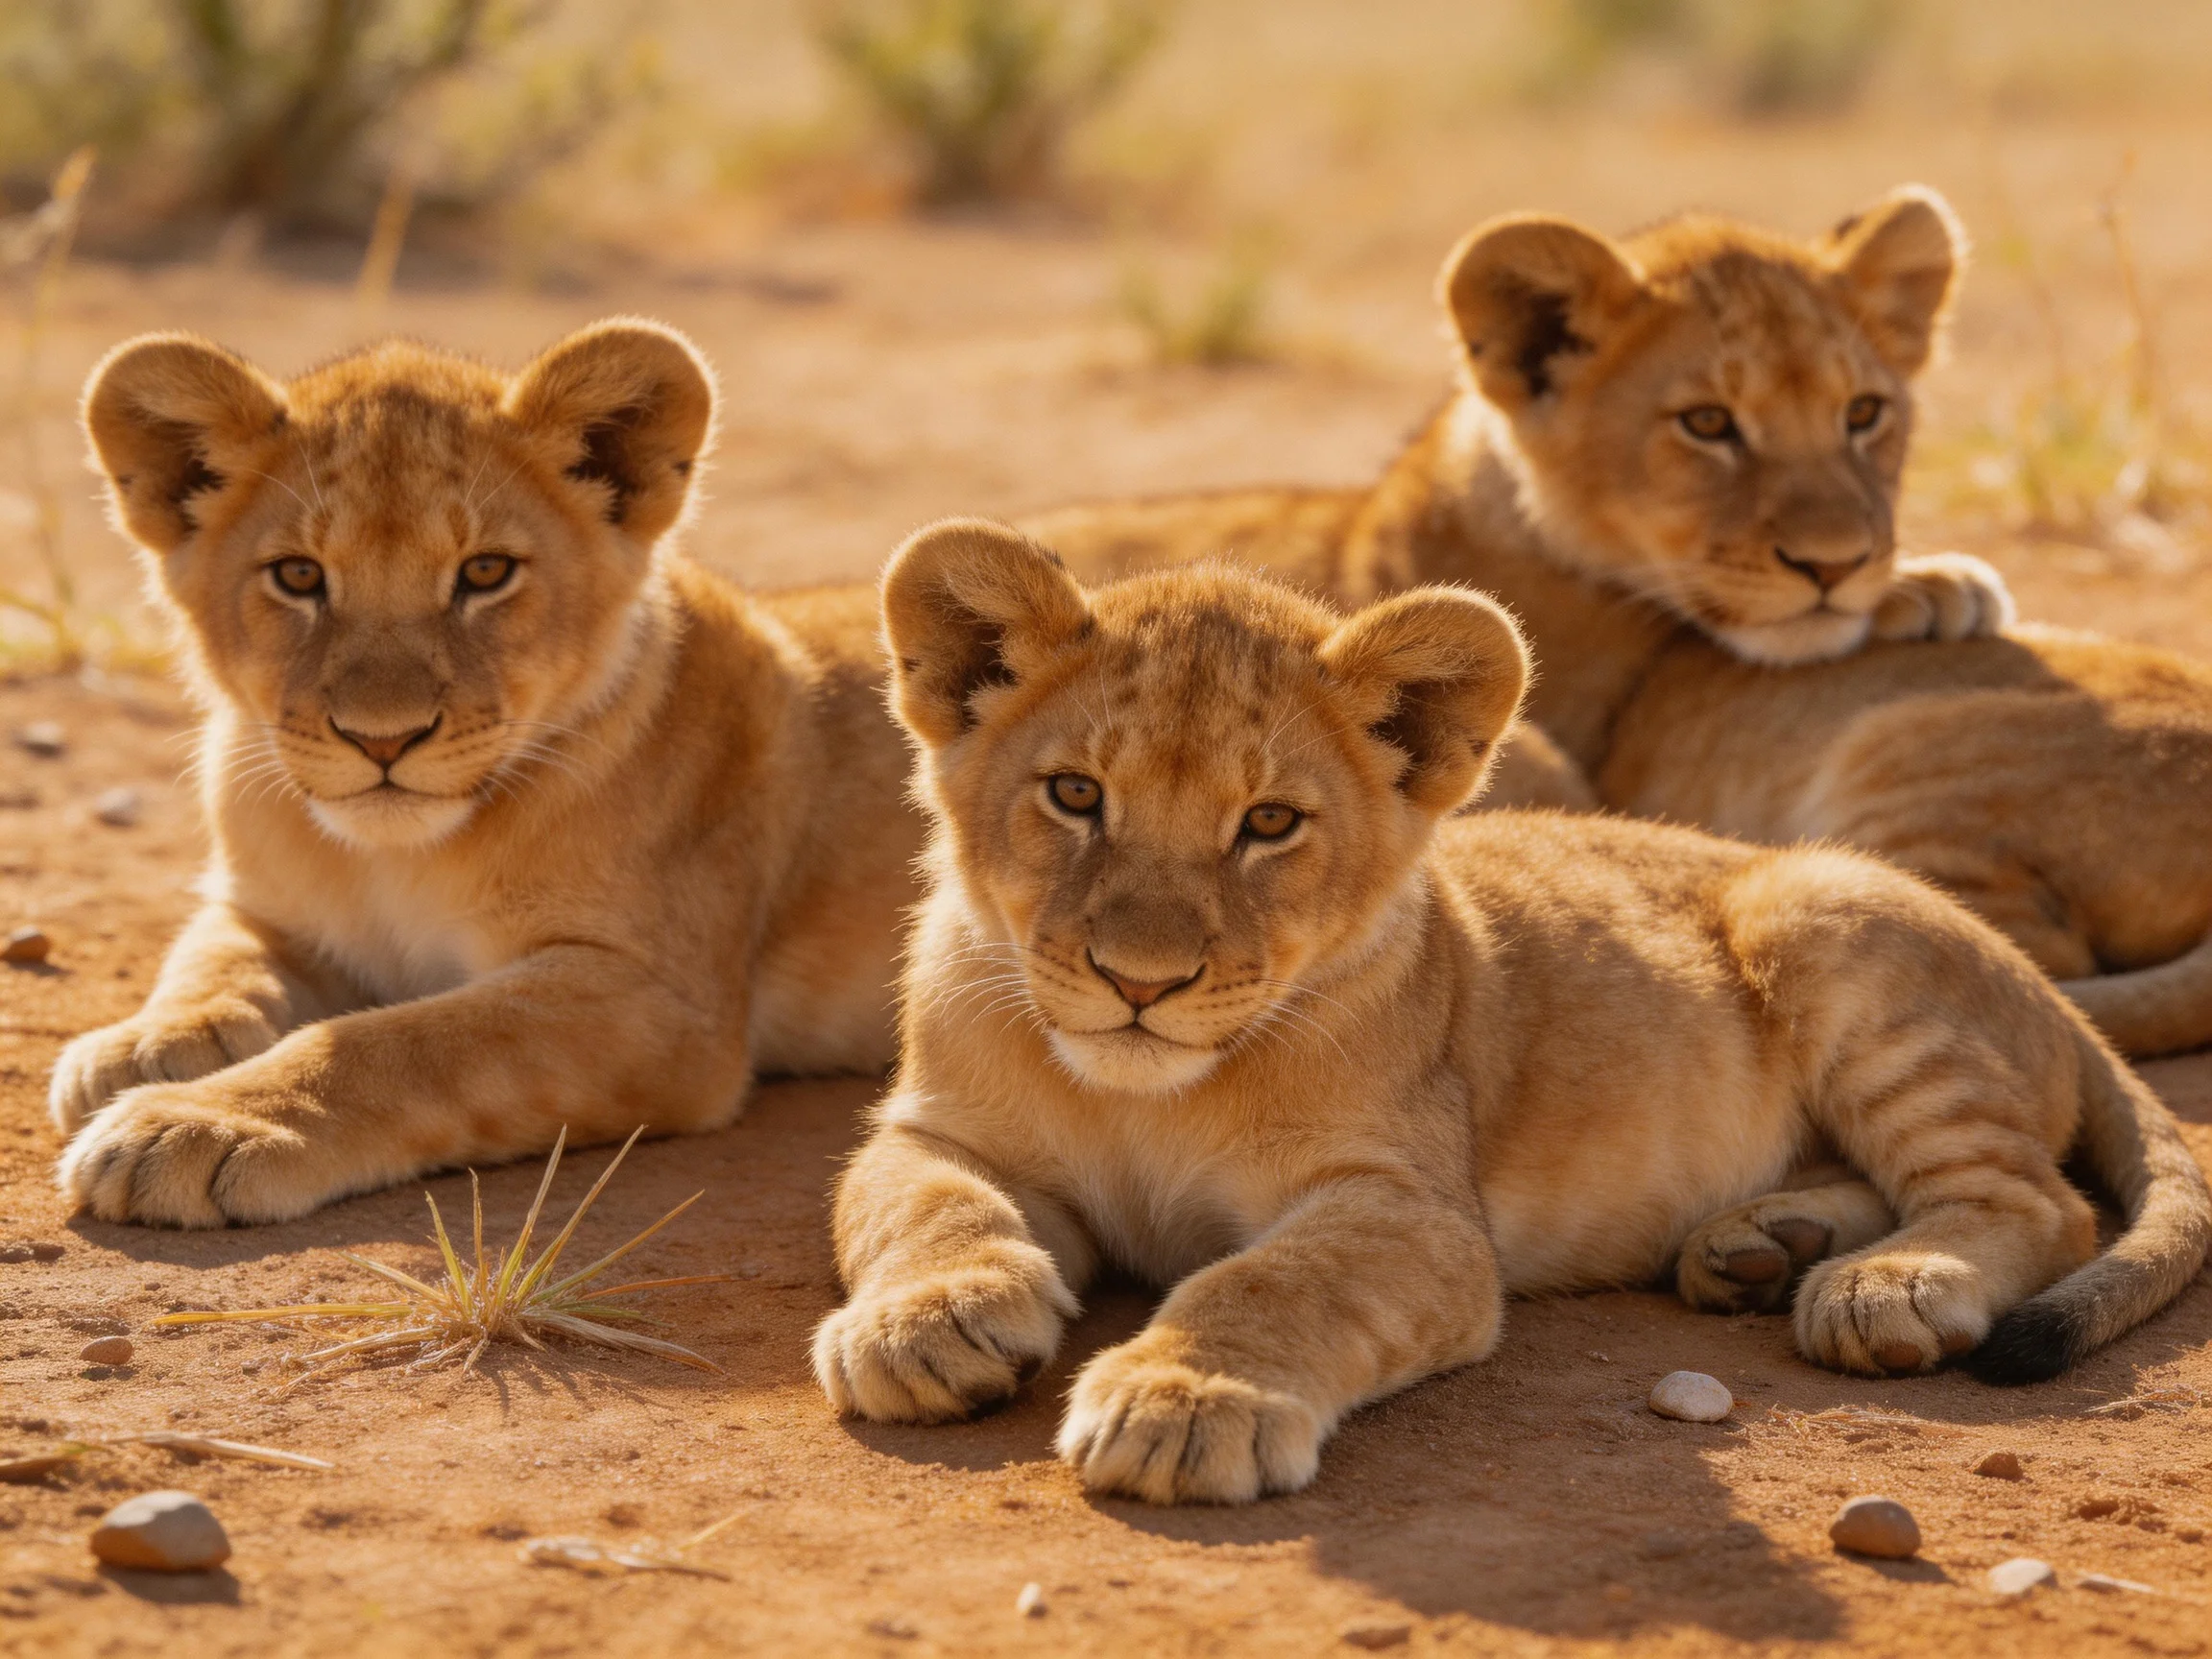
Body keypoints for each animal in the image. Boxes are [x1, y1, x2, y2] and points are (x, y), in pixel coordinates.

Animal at [50, 321, 922, 1226]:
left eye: (485, 572)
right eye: (298, 576)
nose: (384, 739)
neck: (390, 860)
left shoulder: (665, 1006)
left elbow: (405, 1043)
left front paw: (189, 1124)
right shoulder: (269, 910)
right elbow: (213, 960)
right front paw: (146, 1045)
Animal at [811, 520, 2209, 1506]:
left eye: (1269, 823)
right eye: (1074, 794)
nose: (1139, 982)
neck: (1142, 1098)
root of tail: (2042, 992)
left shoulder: (1415, 1215)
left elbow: (1268, 1283)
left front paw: (1184, 1402)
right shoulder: (937, 1130)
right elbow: (927, 1206)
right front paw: (926, 1324)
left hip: (1821, 913)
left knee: (2038, 1200)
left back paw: (1886, 1287)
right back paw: (1763, 1245)